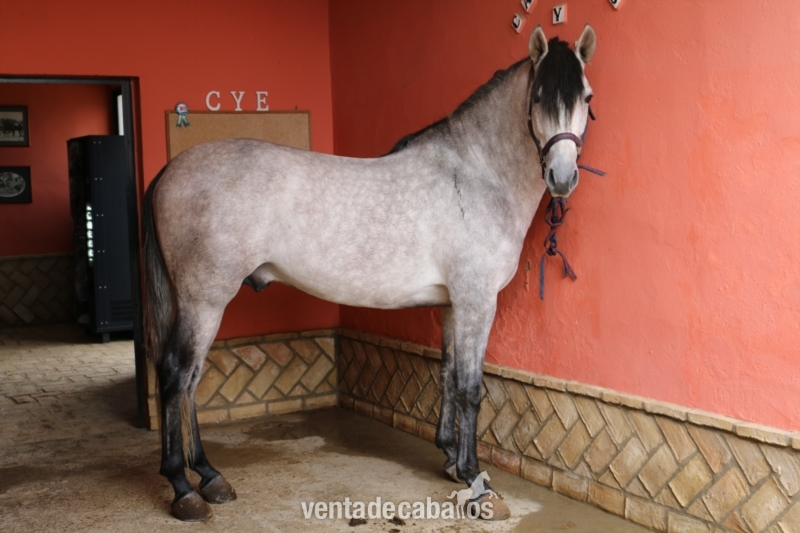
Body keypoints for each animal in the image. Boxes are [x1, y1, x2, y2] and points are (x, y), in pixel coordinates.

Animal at [142, 24, 598, 521]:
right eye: (539, 97)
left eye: (587, 98)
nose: (561, 178)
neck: (475, 175)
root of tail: (169, 171)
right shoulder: (477, 301)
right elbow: (471, 387)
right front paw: (475, 480)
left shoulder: (453, 303)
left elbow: (448, 375)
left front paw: (450, 459)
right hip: (205, 299)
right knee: (176, 374)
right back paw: (183, 488)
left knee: (191, 379)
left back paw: (209, 476)